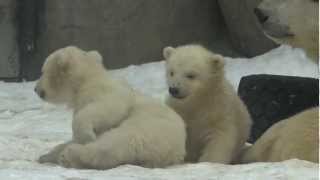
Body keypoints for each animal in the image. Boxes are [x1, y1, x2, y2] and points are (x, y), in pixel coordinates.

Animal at [34, 46, 186, 169]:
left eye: (42, 71)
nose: (35, 89)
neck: (87, 81)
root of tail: (171, 154)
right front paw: (46, 155)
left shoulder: (106, 93)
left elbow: (106, 109)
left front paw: (86, 136)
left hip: (147, 128)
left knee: (116, 143)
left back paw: (69, 155)